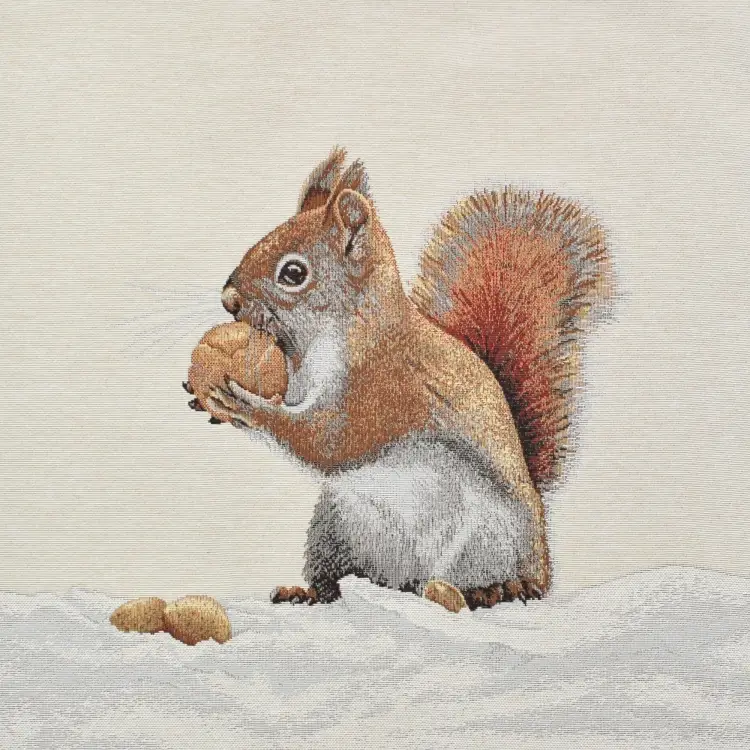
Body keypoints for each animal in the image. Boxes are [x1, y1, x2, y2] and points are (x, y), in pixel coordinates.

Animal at [200, 147, 612, 609]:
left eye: (293, 273)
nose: (228, 299)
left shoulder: (382, 389)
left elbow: (329, 442)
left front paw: (244, 404)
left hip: (488, 539)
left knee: (495, 580)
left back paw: (498, 589)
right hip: (337, 525)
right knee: (338, 576)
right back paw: (308, 591)